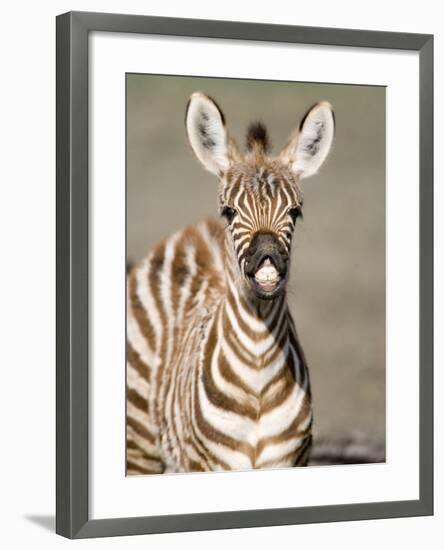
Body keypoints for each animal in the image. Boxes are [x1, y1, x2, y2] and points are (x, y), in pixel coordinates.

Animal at [125, 92, 332, 476]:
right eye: (230, 212)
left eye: (295, 212)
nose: (267, 259)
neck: (258, 374)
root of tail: (193, 230)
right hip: (140, 445)